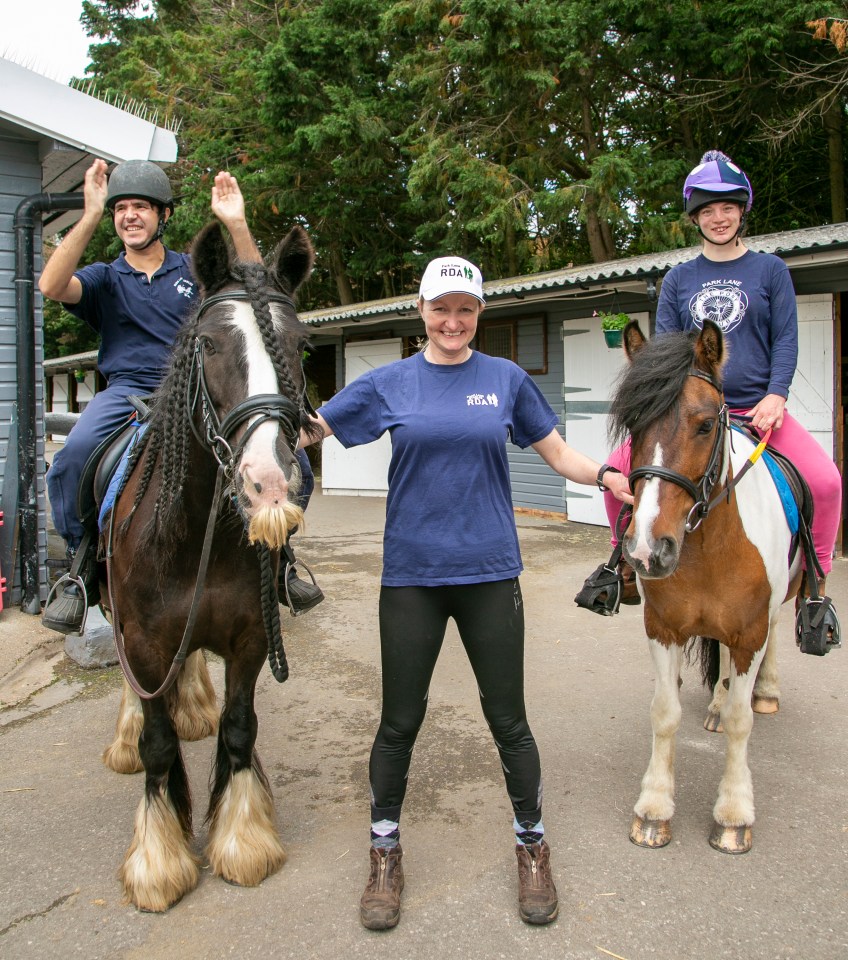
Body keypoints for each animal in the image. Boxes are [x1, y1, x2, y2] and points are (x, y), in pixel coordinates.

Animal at [98, 221, 322, 912]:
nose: (269, 485)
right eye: (208, 342)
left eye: (302, 346)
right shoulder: (143, 642)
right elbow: (157, 745)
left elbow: (239, 729)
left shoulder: (250, 640)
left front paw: (242, 841)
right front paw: (159, 861)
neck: (197, 532)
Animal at [616, 320, 800, 856]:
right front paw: (654, 808)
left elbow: (742, 721)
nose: (647, 549)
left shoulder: (750, 632)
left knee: (772, 643)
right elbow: (664, 712)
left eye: (703, 425)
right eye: (632, 425)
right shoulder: (662, 628)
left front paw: (734, 814)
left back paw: (766, 691)